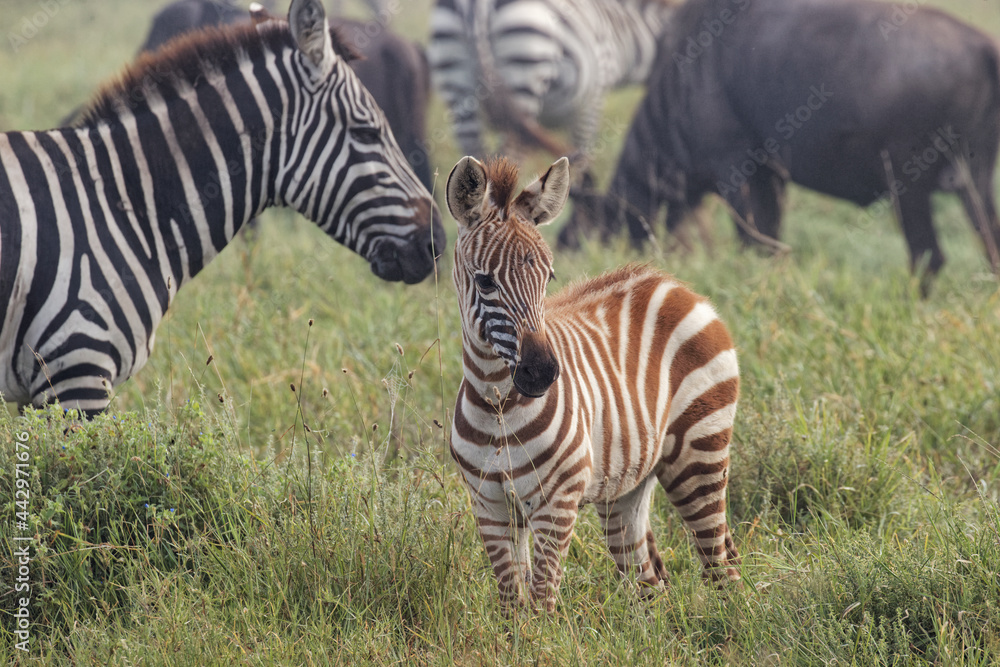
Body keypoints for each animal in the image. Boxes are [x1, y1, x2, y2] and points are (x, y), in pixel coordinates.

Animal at [446, 154, 740, 611]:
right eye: (485, 281)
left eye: (549, 278)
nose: (542, 372)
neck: (498, 404)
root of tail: (673, 285)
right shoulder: (489, 506)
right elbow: (513, 605)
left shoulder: (556, 502)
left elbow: (542, 603)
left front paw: (541, 630)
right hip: (627, 485)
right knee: (648, 582)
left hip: (700, 453)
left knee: (720, 568)